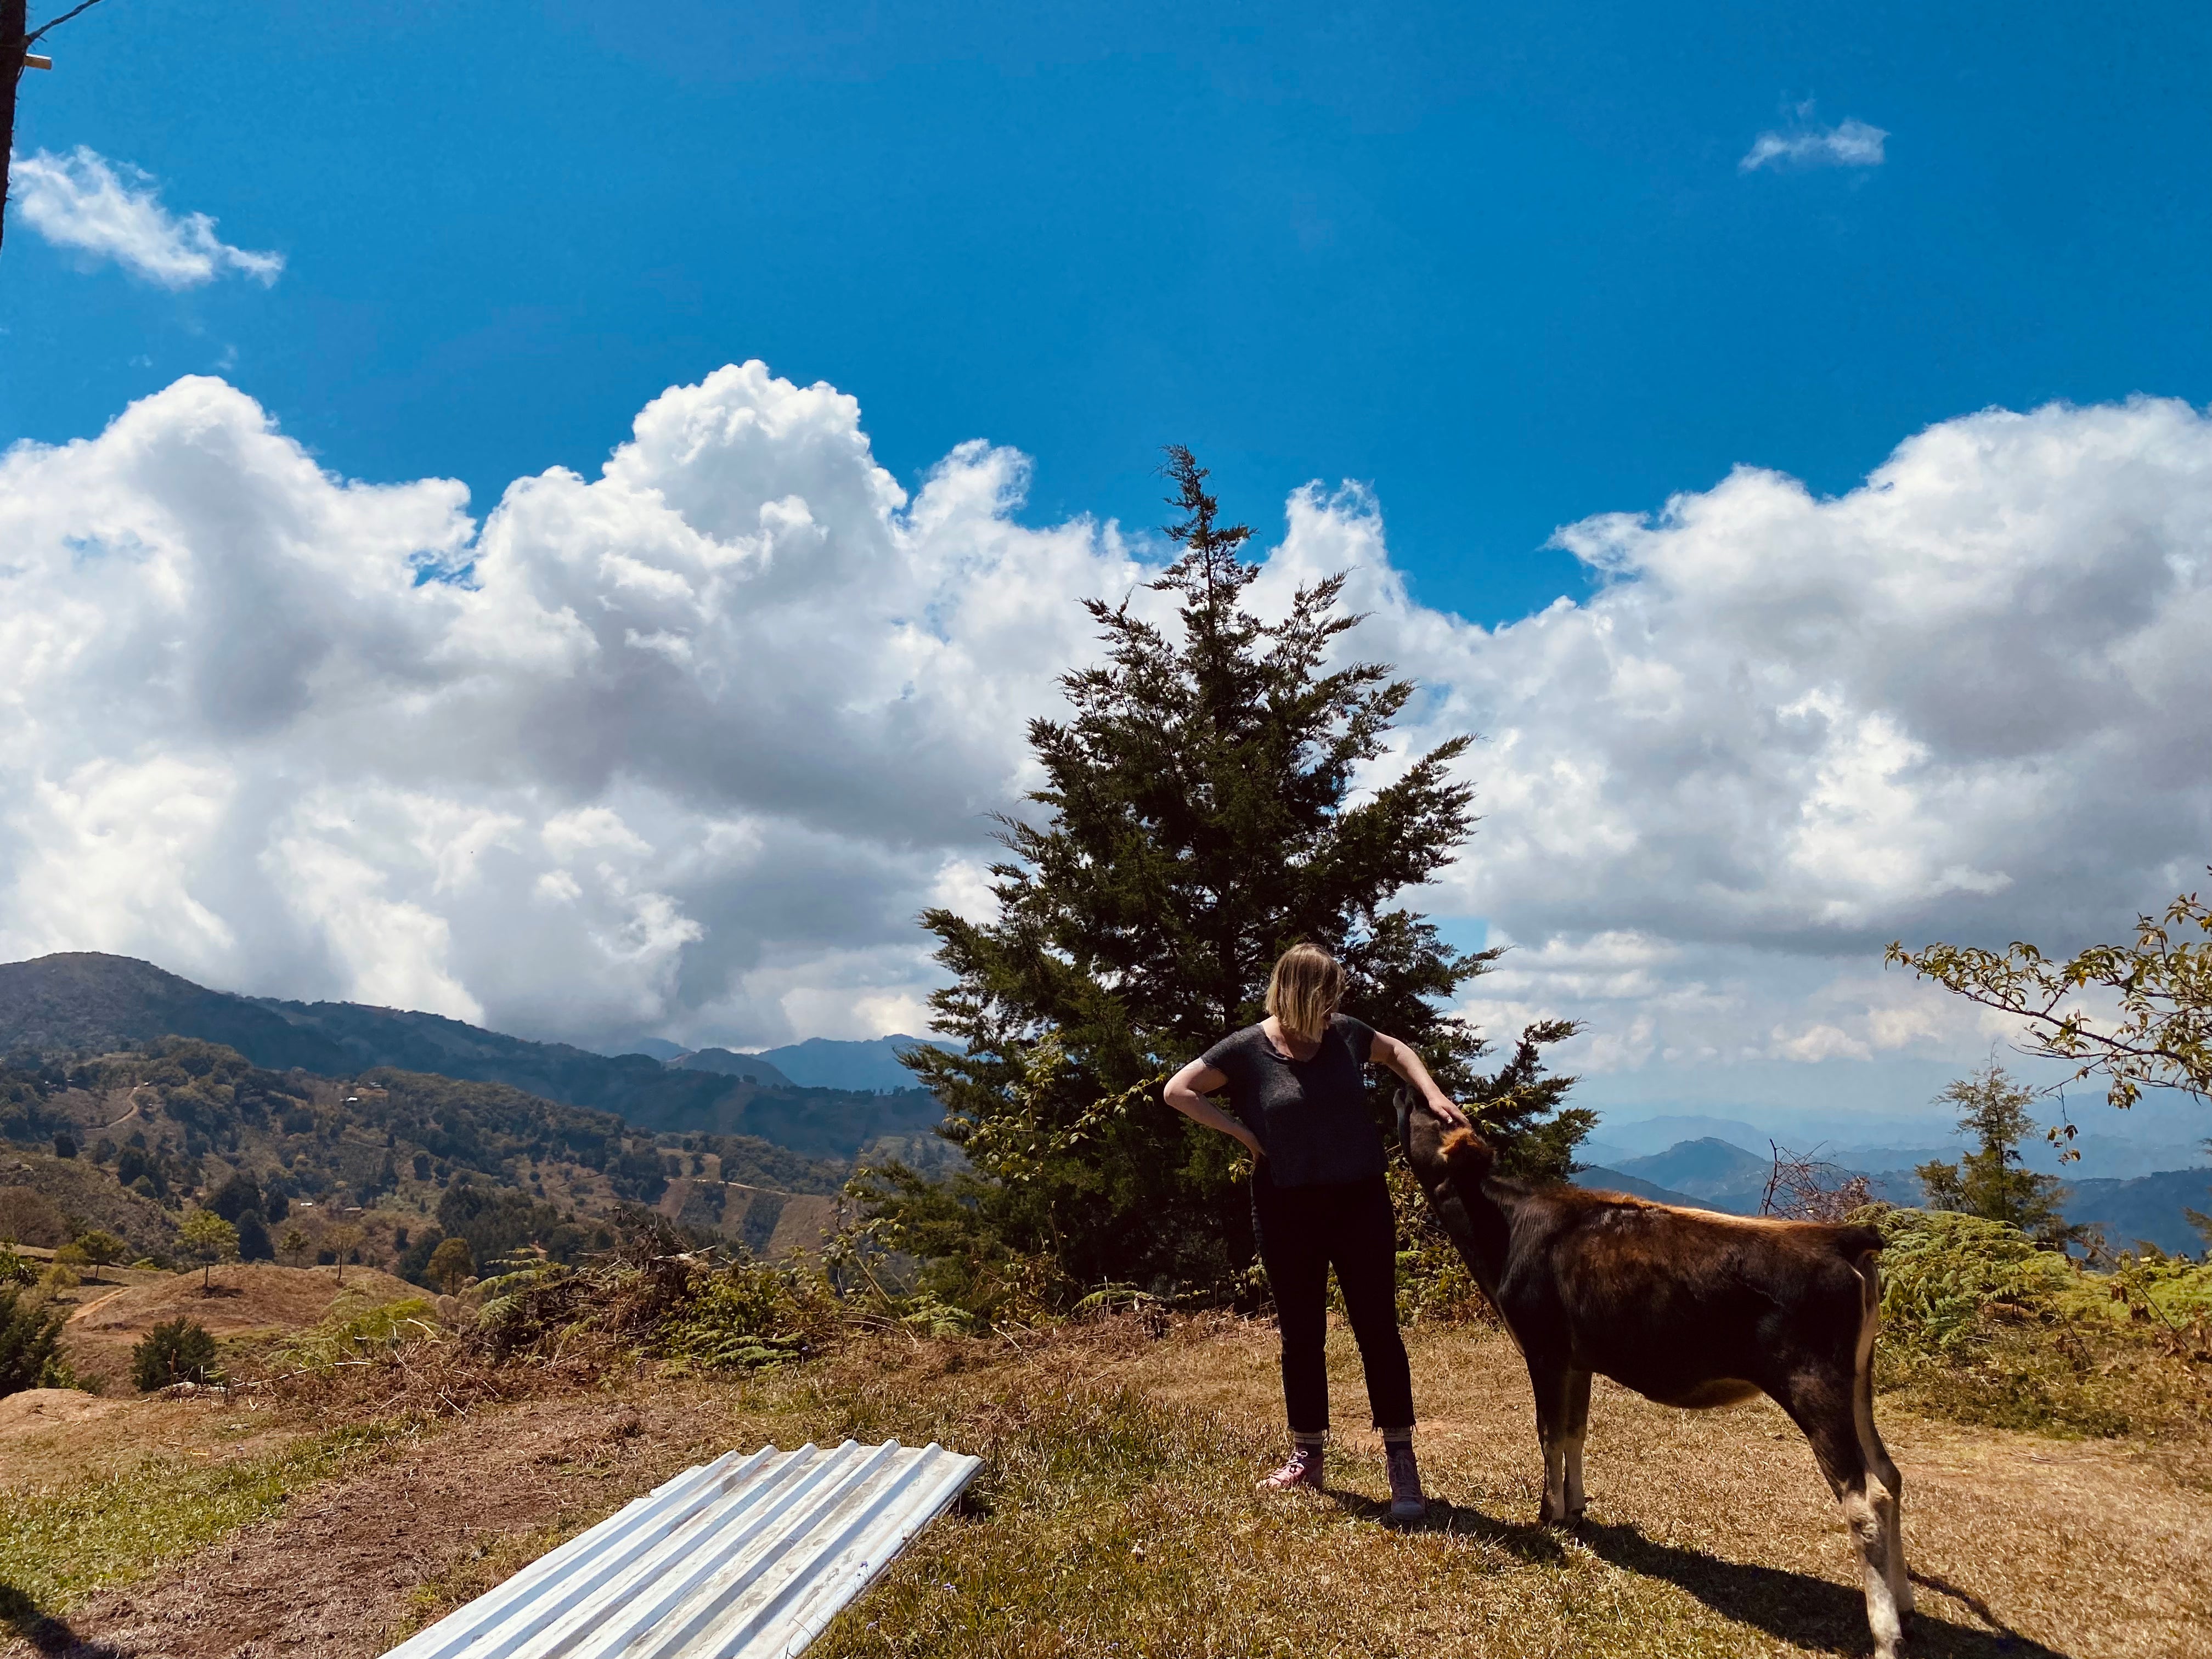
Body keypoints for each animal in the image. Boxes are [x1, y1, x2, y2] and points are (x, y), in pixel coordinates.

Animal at [1407, 1097, 1911, 1654]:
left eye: (1430, 1114)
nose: (1404, 1092)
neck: (1506, 1226)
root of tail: (1838, 1235)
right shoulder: (1579, 1360)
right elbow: (1575, 1433)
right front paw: (1575, 1511)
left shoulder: (1544, 1350)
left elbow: (1548, 1435)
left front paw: (1549, 1514)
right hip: (1858, 1381)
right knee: (1890, 1474)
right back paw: (1907, 1603)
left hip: (1813, 1384)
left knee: (1867, 1499)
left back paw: (1886, 1636)